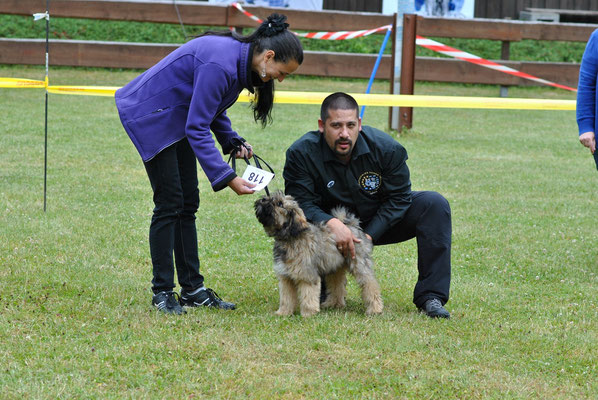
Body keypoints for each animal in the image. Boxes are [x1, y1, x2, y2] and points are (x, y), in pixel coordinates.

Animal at [253, 191, 384, 318]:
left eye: (280, 203)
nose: (263, 199)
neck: (290, 239)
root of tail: (351, 226)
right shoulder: (286, 277)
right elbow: (286, 298)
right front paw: (283, 313)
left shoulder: (306, 275)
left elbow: (308, 296)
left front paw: (308, 314)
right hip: (335, 267)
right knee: (337, 285)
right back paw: (333, 304)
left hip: (359, 265)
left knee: (370, 285)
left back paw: (375, 309)